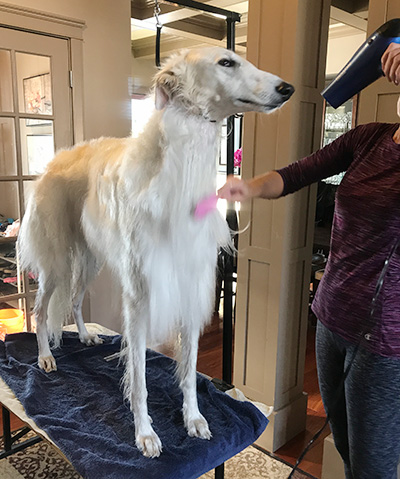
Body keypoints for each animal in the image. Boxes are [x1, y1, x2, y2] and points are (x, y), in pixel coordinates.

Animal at [17, 47, 294, 460]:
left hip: (91, 260)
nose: (287, 88)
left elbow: (190, 370)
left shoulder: (190, 287)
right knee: (39, 310)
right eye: (226, 62)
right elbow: (140, 378)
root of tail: (55, 160)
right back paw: (45, 357)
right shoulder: (139, 297)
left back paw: (84, 336)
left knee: (77, 301)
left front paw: (194, 419)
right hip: (58, 261)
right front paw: (145, 434)